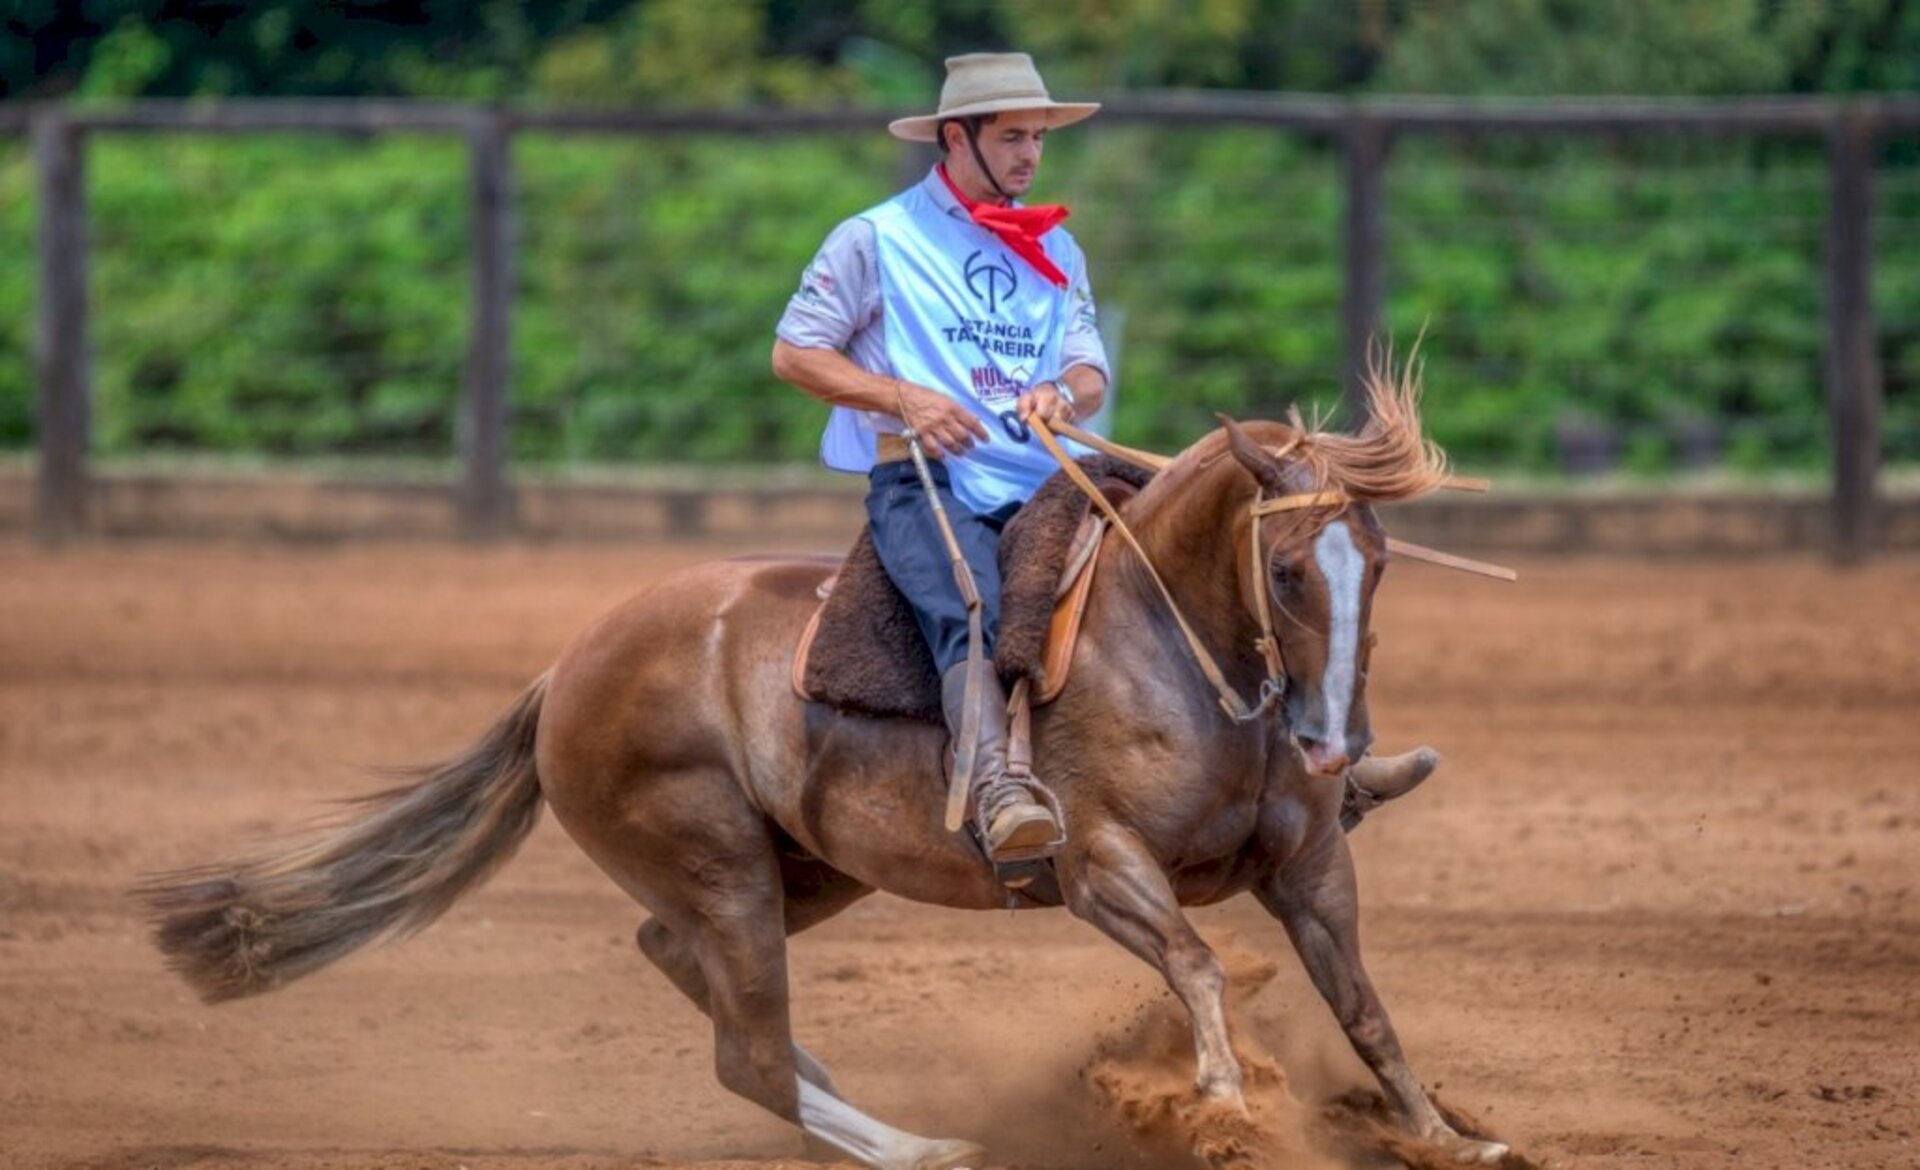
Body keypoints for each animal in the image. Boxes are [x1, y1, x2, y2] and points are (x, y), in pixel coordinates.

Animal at [139, 367, 1510, 1168]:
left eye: (1380, 563)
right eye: (1286, 570)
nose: (1335, 744)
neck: (1165, 644)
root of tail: (564, 671)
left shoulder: (1312, 865)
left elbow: (1365, 1008)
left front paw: (1444, 1135)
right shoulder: (1100, 869)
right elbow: (1199, 963)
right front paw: (1224, 1100)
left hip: (801, 870)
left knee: (688, 969)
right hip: (723, 865)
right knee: (741, 1048)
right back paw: (916, 1148)